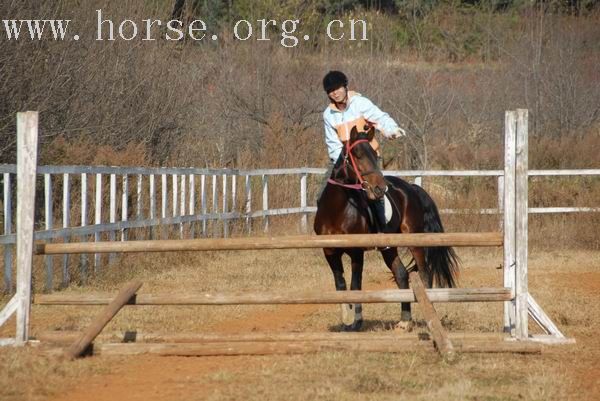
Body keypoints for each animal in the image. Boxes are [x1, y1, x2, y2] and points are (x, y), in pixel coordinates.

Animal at [312, 126, 458, 332]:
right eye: (357, 155)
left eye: (375, 155)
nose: (380, 188)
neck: (337, 210)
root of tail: (411, 187)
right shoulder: (330, 251)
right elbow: (340, 285)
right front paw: (346, 321)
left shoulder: (356, 252)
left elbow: (355, 285)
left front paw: (356, 322)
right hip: (389, 248)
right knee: (402, 275)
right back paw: (405, 321)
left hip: (414, 240)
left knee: (424, 274)